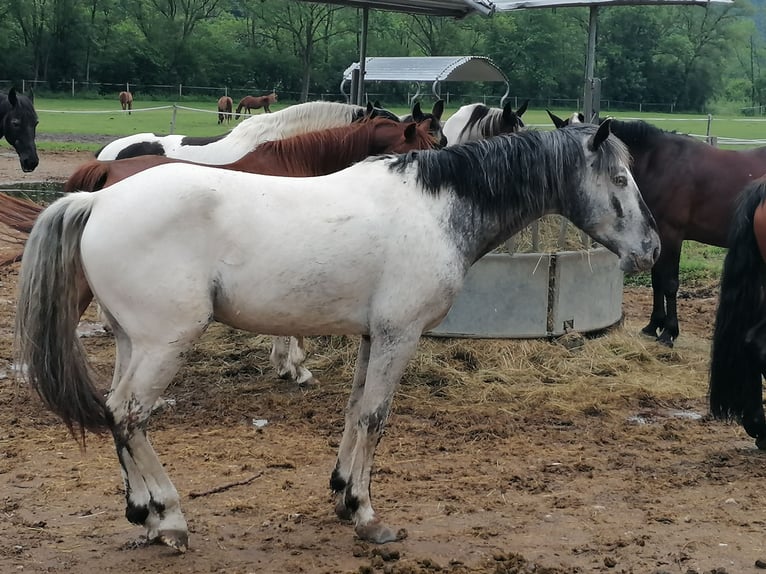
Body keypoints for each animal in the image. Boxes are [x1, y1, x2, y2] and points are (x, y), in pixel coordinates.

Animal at [16, 120, 660, 552]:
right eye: (620, 177)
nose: (652, 248)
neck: (435, 208)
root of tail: (98, 198)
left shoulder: (374, 337)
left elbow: (354, 412)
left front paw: (342, 493)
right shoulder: (400, 335)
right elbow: (376, 417)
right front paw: (366, 513)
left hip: (134, 342)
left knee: (117, 413)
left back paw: (145, 515)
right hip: (164, 343)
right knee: (129, 413)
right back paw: (169, 518)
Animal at [548, 111, 766, 346]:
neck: (657, 164)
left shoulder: (671, 235)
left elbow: (669, 283)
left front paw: (669, 332)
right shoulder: (653, 238)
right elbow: (656, 281)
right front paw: (653, 325)